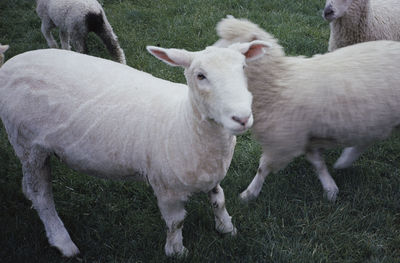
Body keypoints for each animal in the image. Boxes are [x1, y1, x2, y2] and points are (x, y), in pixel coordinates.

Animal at [0, 41, 268, 258]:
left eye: (243, 68)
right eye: (200, 76)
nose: (242, 118)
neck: (185, 122)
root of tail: (10, 64)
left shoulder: (210, 173)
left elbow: (218, 201)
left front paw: (227, 228)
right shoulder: (166, 187)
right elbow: (176, 222)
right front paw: (176, 251)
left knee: (31, 188)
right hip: (27, 142)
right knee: (41, 195)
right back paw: (63, 242)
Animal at [214, 16, 400, 202]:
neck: (276, 81)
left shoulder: (283, 141)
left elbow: (263, 168)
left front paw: (249, 193)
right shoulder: (304, 136)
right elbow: (318, 163)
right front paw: (330, 188)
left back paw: (345, 160)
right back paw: (345, 160)